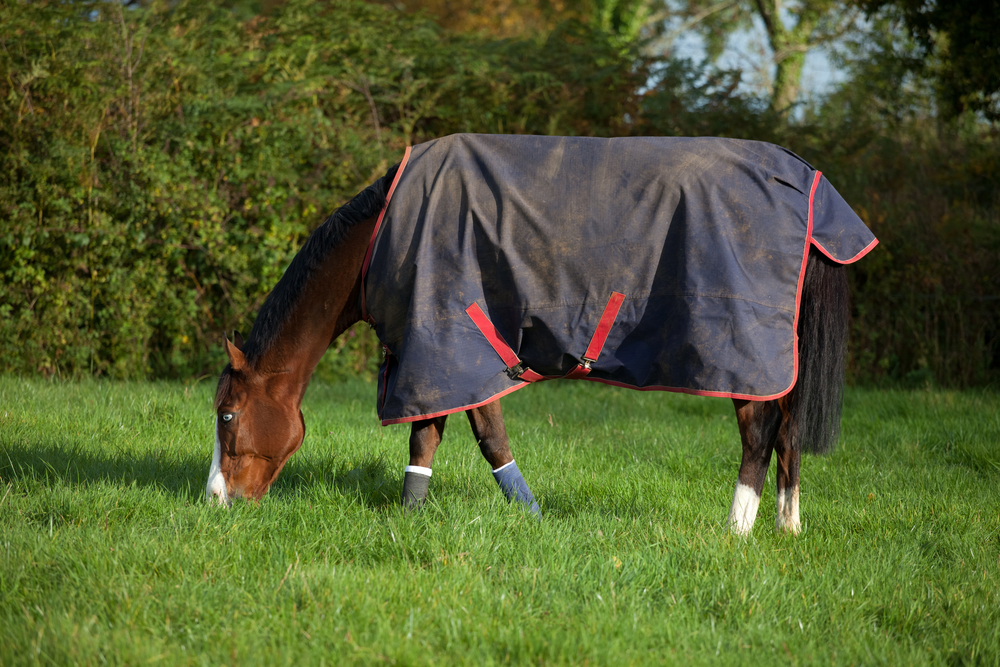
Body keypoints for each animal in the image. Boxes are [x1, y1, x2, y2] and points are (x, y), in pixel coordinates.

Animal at [207, 134, 877, 535]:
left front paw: (493, 516)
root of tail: (809, 184)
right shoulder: (448, 353)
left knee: (759, 434)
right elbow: (453, 436)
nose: (215, 501)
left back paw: (736, 530)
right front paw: (442, 516)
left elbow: (465, 436)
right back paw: (787, 526)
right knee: (787, 431)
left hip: (742, 353)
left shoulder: (447, 342)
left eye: (226, 416)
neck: (383, 235)